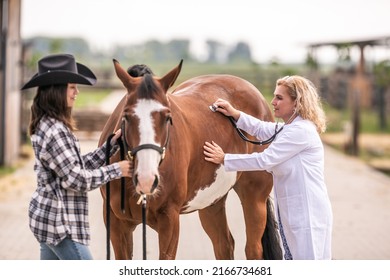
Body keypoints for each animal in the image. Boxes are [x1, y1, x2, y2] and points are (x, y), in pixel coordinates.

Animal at [97, 59, 280, 260]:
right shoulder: (116, 223)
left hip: (254, 198)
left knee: (253, 249)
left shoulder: (169, 219)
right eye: (126, 116)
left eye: (168, 117)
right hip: (212, 202)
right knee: (224, 245)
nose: (146, 179)